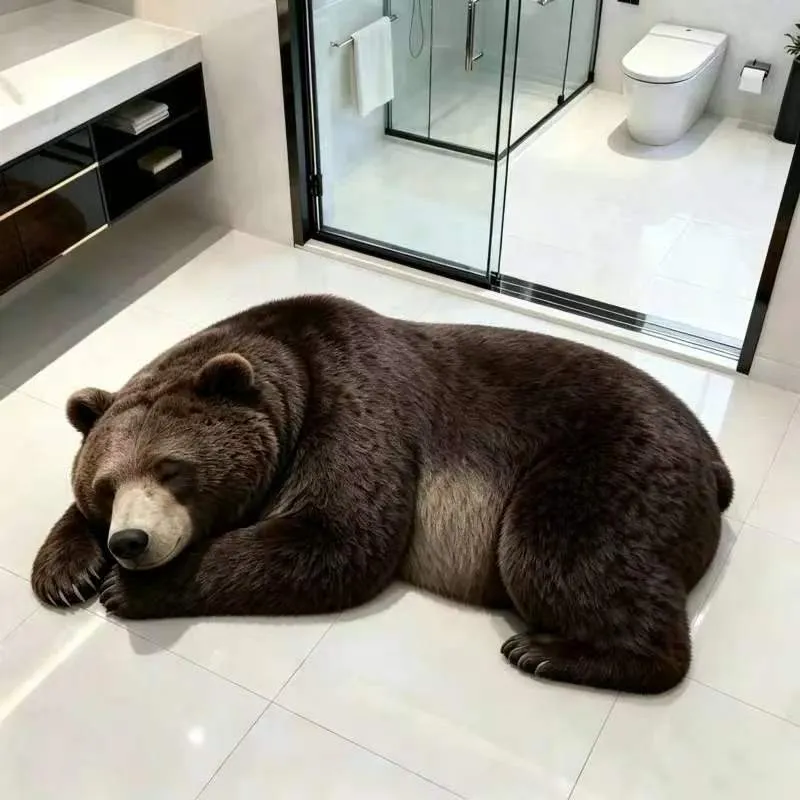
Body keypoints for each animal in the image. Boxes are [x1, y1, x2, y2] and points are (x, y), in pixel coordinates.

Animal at [31, 294, 732, 694]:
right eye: (105, 486)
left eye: (173, 469)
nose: (130, 541)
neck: (287, 369)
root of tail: (714, 457)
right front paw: (64, 572)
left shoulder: (357, 402)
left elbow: (339, 534)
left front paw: (131, 590)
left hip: (609, 459)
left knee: (557, 549)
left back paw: (549, 652)